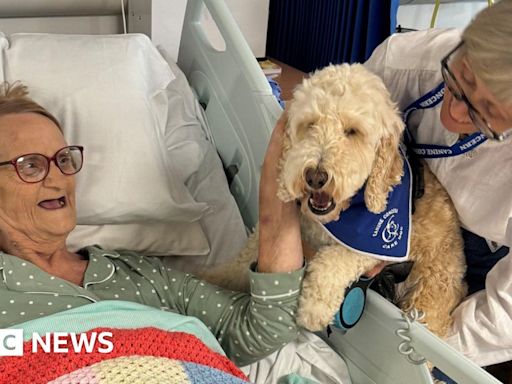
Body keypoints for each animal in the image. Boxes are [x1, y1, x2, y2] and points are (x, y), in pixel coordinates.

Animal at [203, 63, 464, 340]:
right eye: (310, 124)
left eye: (352, 131)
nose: (315, 176)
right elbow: (242, 261)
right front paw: (208, 277)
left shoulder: (377, 246)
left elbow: (333, 261)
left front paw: (313, 308)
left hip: (429, 295)